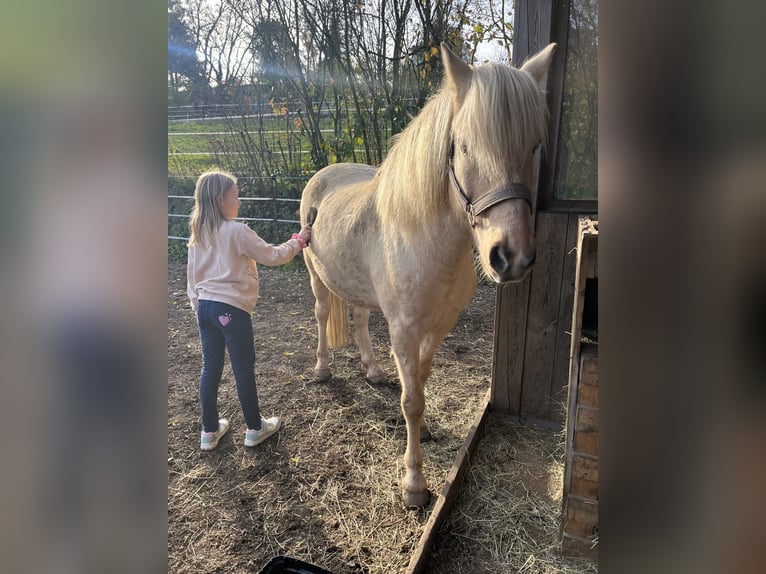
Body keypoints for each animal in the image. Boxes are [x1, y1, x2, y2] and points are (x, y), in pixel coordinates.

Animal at [300, 42, 556, 508]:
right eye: (465, 147)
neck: (429, 243)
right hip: (316, 278)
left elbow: (421, 381)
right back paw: (323, 369)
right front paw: (414, 484)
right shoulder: (403, 330)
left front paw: (427, 433)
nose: (511, 257)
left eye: (534, 147)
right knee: (323, 315)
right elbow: (411, 401)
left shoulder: (438, 327)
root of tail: (323, 175)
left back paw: (373, 371)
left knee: (359, 321)